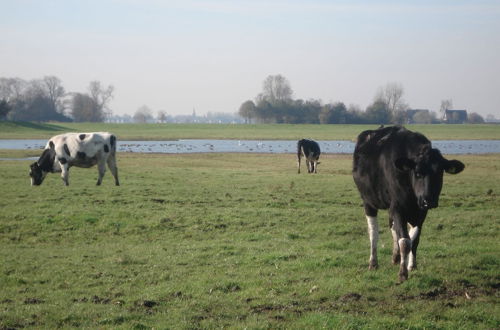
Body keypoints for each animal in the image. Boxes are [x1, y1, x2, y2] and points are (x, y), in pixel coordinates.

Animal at [352, 125, 464, 282]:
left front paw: (411, 266)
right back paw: (373, 263)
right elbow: (405, 241)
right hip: (369, 202)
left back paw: (396, 257)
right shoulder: (398, 208)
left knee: (393, 228)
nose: (428, 200)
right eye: (417, 173)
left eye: (440, 173)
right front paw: (402, 273)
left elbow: (414, 240)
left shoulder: (420, 212)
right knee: (373, 232)